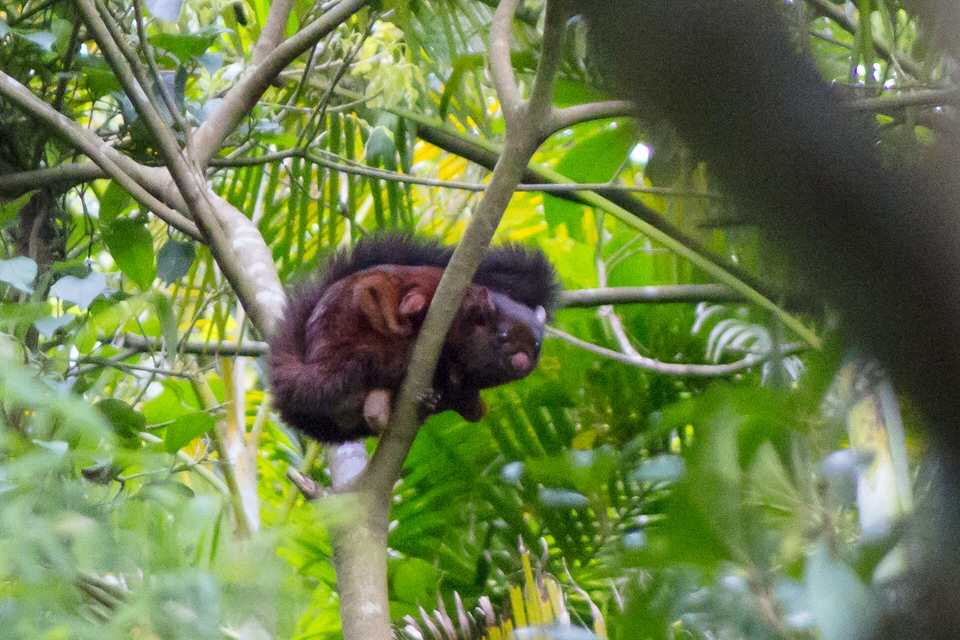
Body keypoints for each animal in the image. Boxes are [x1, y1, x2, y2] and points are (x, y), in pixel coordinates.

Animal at [268, 234, 560, 443]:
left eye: (537, 346)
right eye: (502, 336)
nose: (522, 361)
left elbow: (468, 402)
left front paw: (465, 402)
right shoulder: (432, 287)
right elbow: (414, 296)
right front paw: (412, 307)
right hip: (358, 343)